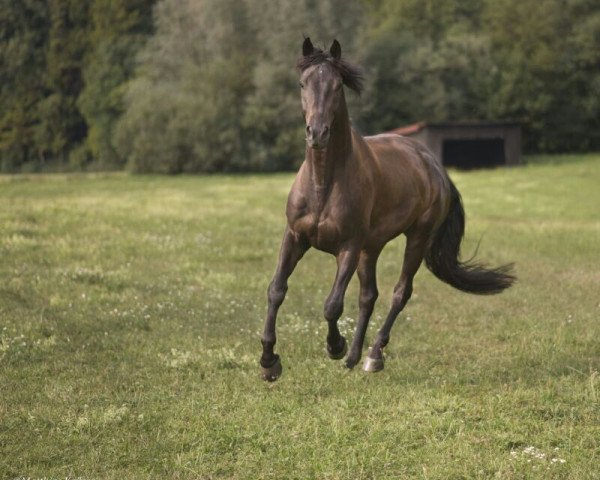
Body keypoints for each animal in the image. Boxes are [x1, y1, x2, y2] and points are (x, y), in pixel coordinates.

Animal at [258, 37, 516, 380]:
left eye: (337, 86)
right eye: (303, 83)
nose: (318, 133)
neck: (323, 184)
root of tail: (432, 163)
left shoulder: (349, 246)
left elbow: (332, 304)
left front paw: (334, 346)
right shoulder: (295, 237)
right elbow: (276, 290)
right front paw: (269, 361)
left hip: (416, 238)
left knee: (399, 292)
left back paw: (372, 355)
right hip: (372, 248)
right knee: (369, 296)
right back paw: (355, 356)